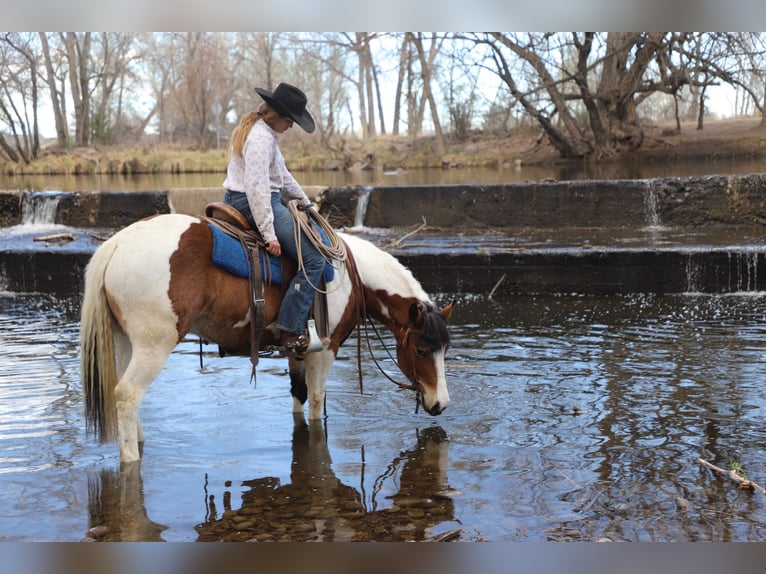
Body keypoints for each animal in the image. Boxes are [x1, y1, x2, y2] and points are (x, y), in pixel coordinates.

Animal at [79, 213, 453, 463]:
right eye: (422, 349)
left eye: (444, 350)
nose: (440, 405)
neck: (352, 276)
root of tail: (116, 245)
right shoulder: (325, 350)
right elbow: (316, 401)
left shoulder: (298, 350)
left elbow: (298, 397)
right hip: (154, 344)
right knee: (128, 394)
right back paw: (130, 457)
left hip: (127, 342)